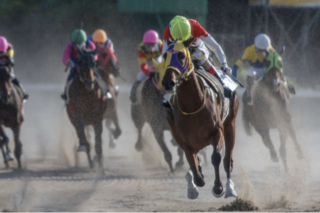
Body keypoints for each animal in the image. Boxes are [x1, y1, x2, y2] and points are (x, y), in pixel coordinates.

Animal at [161, 39, 239, 199]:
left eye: (181, 55)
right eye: (165, 55)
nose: (168, 83)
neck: (193, 105)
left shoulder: (217, 132)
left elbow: (216, 157)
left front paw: (218, 188)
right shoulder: (183, 139)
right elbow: (191, 159)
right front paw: (196, 181)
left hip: (230, 123)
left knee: (227, 159)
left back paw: (229, 188)